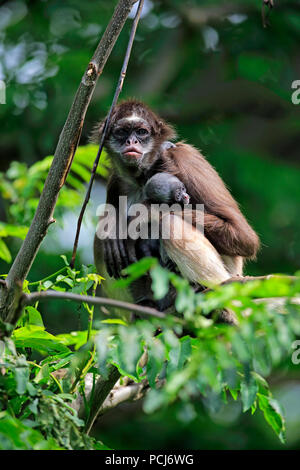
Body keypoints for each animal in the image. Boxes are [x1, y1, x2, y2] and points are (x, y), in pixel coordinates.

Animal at [92, 99, 260, 312]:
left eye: (141, 132)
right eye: (122, 132)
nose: (132, 142)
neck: (142, 177)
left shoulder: (184, 156)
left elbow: (245, 238)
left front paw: (143, 214)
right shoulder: (116, 180)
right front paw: (116, 229)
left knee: (168, 223)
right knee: (102, 239)